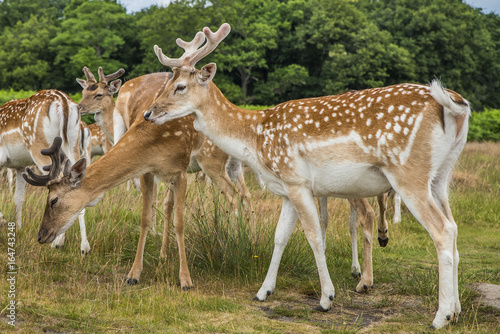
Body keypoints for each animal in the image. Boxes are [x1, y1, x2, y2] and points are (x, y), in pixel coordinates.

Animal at [0, 88, 91, 253]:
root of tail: (63, 102)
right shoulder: (20, 166)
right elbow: (18, 198)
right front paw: (18, 229)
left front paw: (4, 222)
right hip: (73, 143)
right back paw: (83, 247)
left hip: (40, 146)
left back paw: (57, 243)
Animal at [143, 24, 470, 328]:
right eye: (167, 82)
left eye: (180, 86)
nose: (148, 113)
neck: (254, 138)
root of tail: (455, 105)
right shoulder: (287, 188)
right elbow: (280, 237)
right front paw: (263, 292)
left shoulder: (297, 180)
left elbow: (314, 236)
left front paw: (326, 298)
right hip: (441, 175)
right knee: (454, 228)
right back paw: (456, 311)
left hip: (408, 172)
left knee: (442, 231)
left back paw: (440, 317)